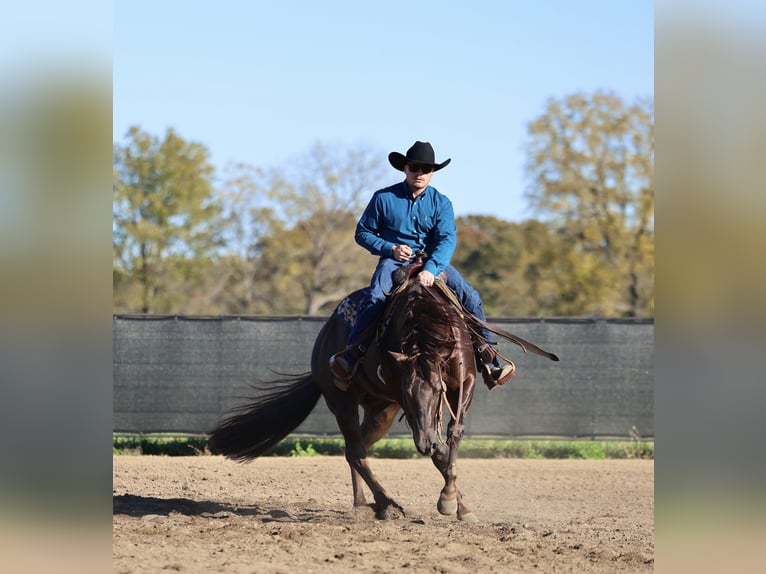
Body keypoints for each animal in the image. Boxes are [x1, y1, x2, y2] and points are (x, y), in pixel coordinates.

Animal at [208, 259, 559, 521]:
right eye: (408, 391)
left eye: (437, 389)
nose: (422, 442)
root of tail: (322, 344)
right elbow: (439, 448)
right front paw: (448, 499)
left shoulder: (464, 384)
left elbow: (453, 435)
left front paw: (457, 503)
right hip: (343, 403)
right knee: (356, 451)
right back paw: (386, 504)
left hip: (381, 410)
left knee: (359, 449)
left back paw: (366, 504)